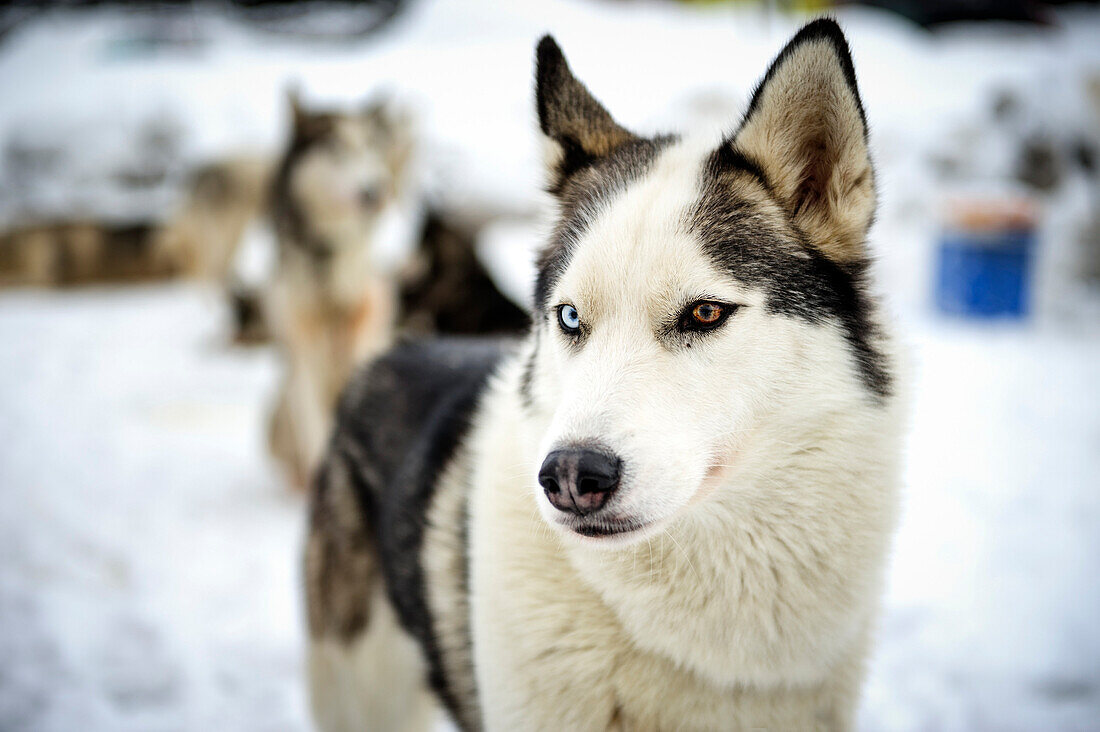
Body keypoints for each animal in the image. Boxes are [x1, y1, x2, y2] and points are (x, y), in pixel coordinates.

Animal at [268, 94, 413, 488]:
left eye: (370, 148)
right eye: (336, 149)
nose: (375, 191)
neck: (328, 260)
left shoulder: (365, 318)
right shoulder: (305, 340)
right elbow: (315, 422)